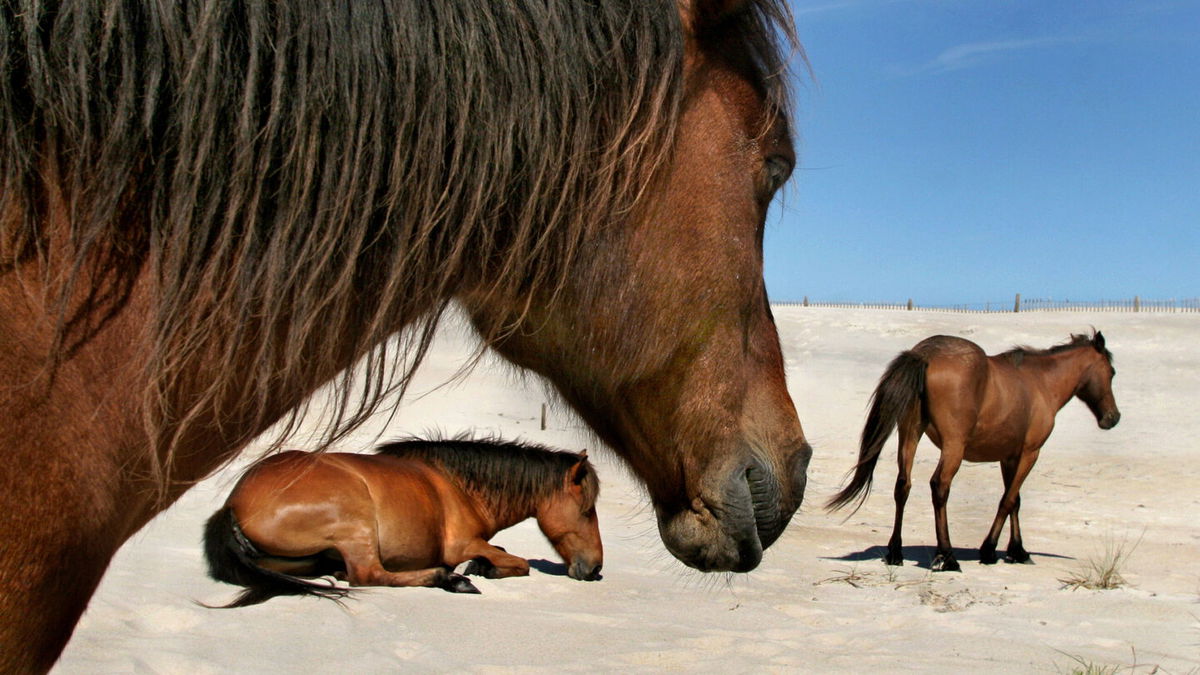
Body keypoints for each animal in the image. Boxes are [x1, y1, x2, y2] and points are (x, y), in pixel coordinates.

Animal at [206, 437, 604, 605]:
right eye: (587, 509)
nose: (595, 568)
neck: (461, 486)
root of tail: (232, 503)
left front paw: (481, 566)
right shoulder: (462, 543)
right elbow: (519, 563)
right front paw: (480, 569)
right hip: (356, 519)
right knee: (368, 575)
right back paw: (451, 581)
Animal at [830, 331, 1118, 566]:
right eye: (1112, 373)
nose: (1113, 418)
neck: (1040, 383)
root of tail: (924, 354)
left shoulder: (1009, 456)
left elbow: (1015, 501)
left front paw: (1018, 551)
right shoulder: (1030, 453)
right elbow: (1007, 500)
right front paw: (989, 550)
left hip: (910, 434)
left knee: (903, 485)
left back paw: (895, 553)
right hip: (952, 446)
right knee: (939, 486)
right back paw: (946, 556)